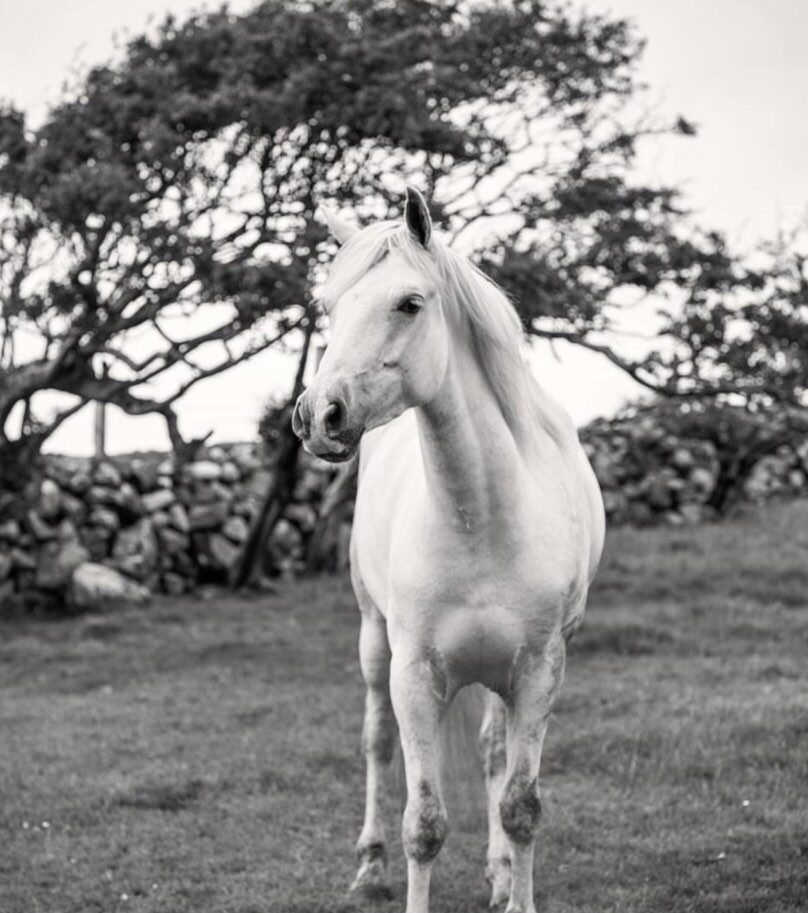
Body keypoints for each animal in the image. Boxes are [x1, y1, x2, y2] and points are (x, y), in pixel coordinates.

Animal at [294, 187, 604, 912]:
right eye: (330, 306)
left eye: (409, 303)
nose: (318, 415)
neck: (482, 516)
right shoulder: (413, 674)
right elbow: (424, 822)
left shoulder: (539, 670)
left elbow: (521, 806)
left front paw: (514, 887)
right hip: (373, 640)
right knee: (377, 743)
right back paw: (370, 864)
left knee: (491, 755)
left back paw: (497, 871)